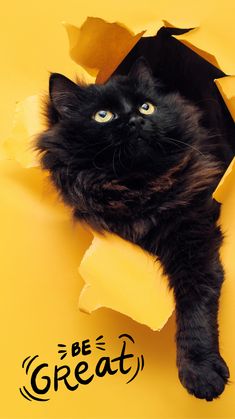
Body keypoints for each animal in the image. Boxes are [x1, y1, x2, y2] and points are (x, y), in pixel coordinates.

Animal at [36, 57, 231, 402]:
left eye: (146, 107)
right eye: (103, 115)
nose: (136, 121)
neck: (138, 186)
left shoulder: (193, 235)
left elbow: (196, 306)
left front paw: (201, 371)